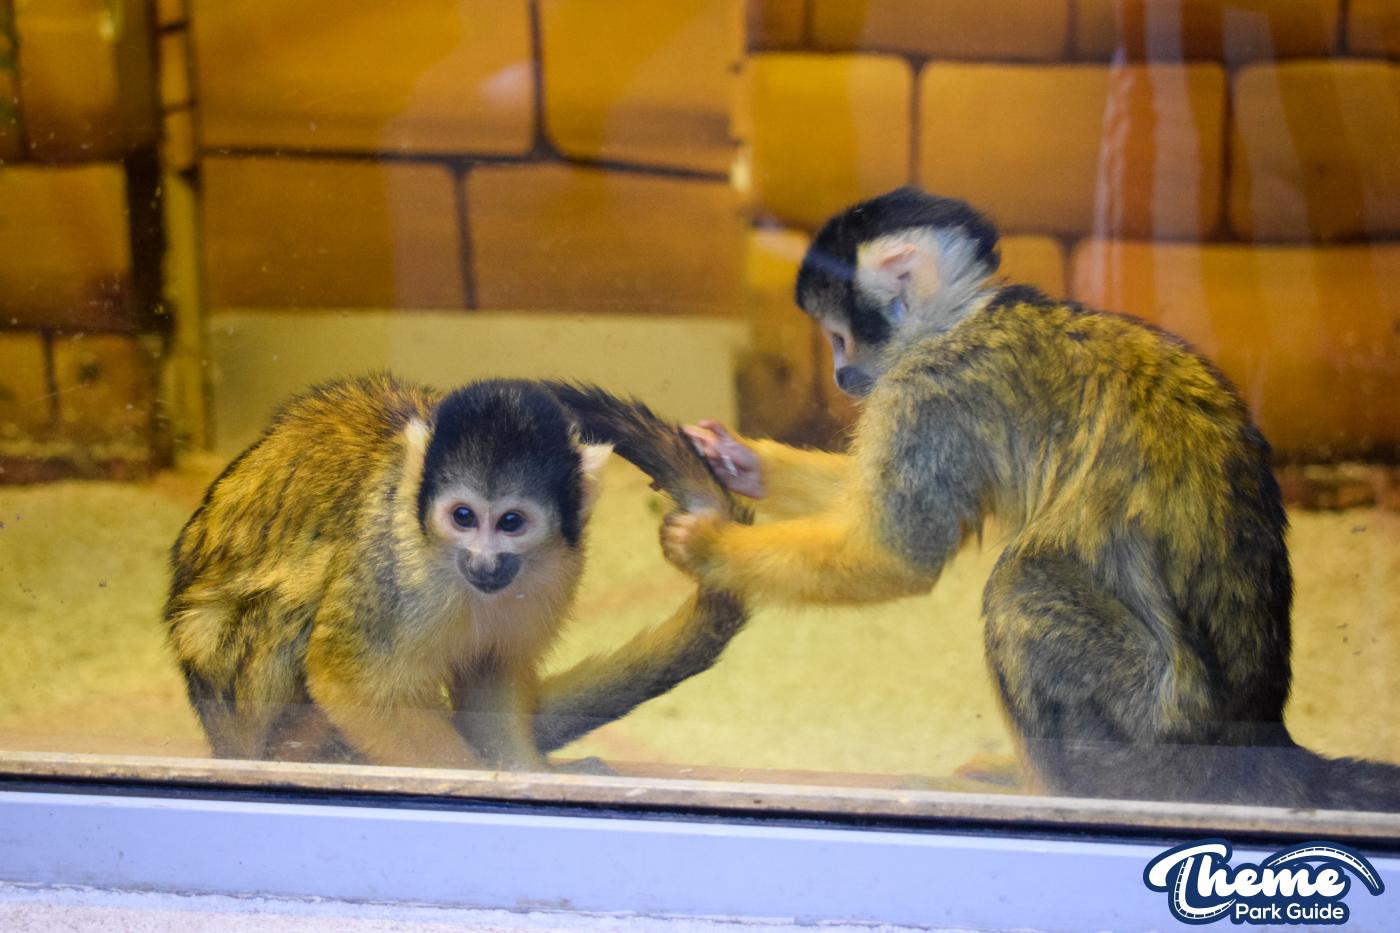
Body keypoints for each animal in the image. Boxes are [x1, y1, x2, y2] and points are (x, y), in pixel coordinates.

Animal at [164, 373, 749, 770]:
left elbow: (494, 669)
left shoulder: (557, 566)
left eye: (511, 522)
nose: (484, 561)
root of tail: (224, 742)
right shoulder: (395, 561)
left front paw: (522, 772)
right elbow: (349, 678)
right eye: (463, 517)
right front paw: (468, 775)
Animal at [635, 186, 1400, 811]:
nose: (841, 374)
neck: (963, 317)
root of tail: (1259, 745)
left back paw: (1053, 795)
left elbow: (896, 553)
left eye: (835, 335)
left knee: (1022, 586)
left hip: (1155, 736)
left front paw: (709, 545)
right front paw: (742, 461)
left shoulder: (932, 392)